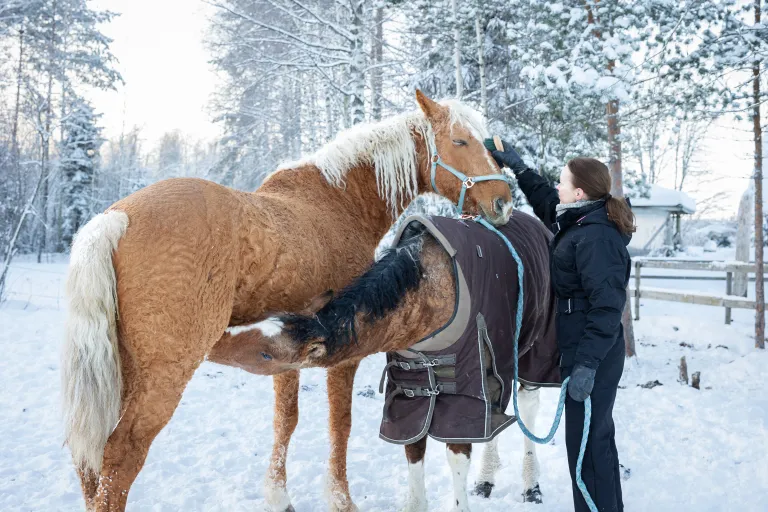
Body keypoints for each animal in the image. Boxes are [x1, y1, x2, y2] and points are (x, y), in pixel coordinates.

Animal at [63, 90, 512, 510]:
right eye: (459, 140)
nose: (503, 201)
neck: (339, 202)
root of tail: (115, 219)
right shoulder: (344, 350)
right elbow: (340, 423)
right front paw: (341, 499)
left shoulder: (288, 350)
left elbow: (286, 421)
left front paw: (279, 497)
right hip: (163, 374)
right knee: (119, 459)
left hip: (122, 372)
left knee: (90, 467)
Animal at [216, 210, 560, 510]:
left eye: (265, 353)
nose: (217, 339)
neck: (430, 293)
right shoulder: (409, 390)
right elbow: (414, 448)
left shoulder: (465, 388)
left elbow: (458, 452)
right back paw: (486, 479)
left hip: (533, 351)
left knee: (526, 407)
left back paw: (531, 485)